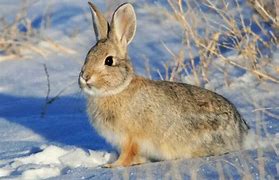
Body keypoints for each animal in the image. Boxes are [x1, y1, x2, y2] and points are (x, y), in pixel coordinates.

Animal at [78, 1, 249, 168]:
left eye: (109, 61)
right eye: (88, 55)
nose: (85, 77)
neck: (118, 89)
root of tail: (241, 132)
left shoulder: (130, 138)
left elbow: (128, 155)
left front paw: (112, 166)